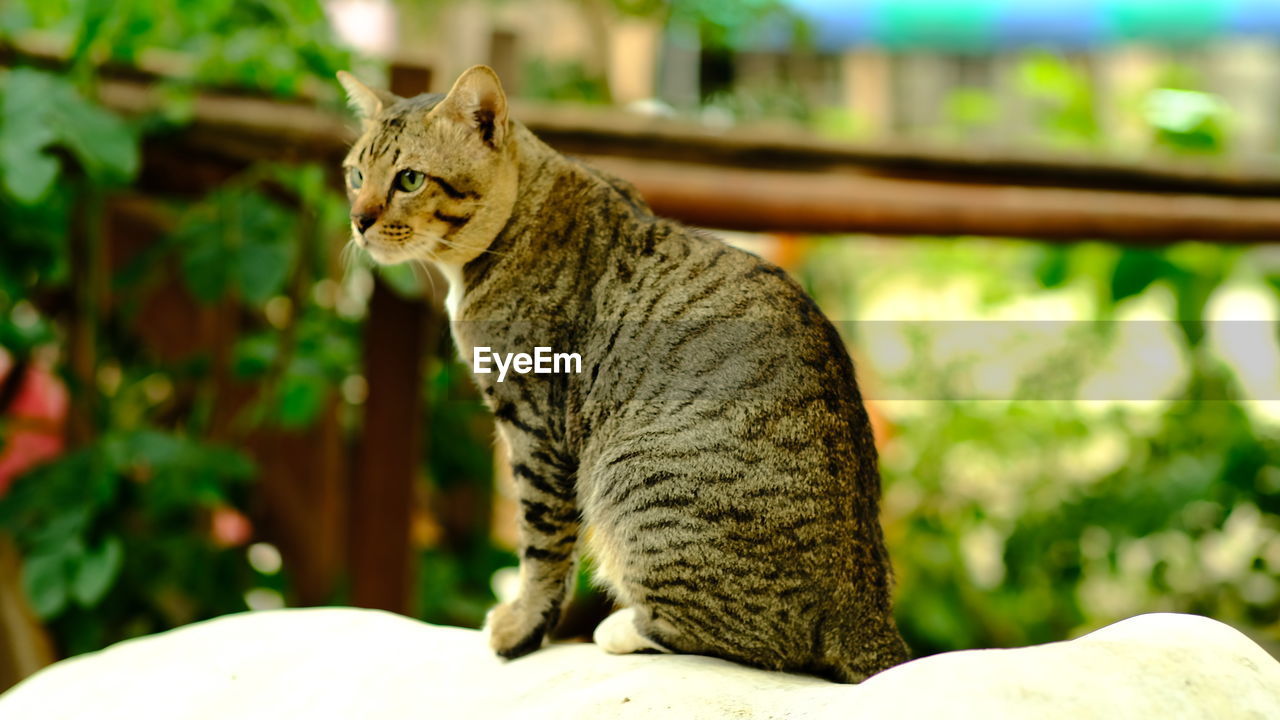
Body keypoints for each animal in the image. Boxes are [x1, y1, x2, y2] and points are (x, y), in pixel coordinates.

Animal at [337, 64, 911, 681]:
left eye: (410, 179)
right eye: (355, 175)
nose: (359, 220)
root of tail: (866, 613)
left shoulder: (535, 428)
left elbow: (541, 549)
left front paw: (519, 628)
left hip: (634, 479)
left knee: (758, 643)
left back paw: (621, 629)